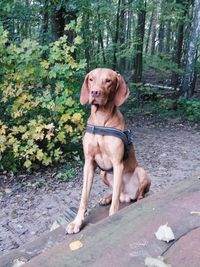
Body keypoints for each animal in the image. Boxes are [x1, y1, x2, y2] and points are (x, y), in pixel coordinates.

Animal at [66, 68, 151, 234]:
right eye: (91, 79)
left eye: (108, 81)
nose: (94, 92)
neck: (101, 119)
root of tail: (127, 195)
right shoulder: (89, 163)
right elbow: (84, 198)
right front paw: (77, 222)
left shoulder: (118, 163)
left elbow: (115, 206)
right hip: (103, 173)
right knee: (115, 192)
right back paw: (107, 198)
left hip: (141, 171)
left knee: (135, 193)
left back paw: (139, 198)